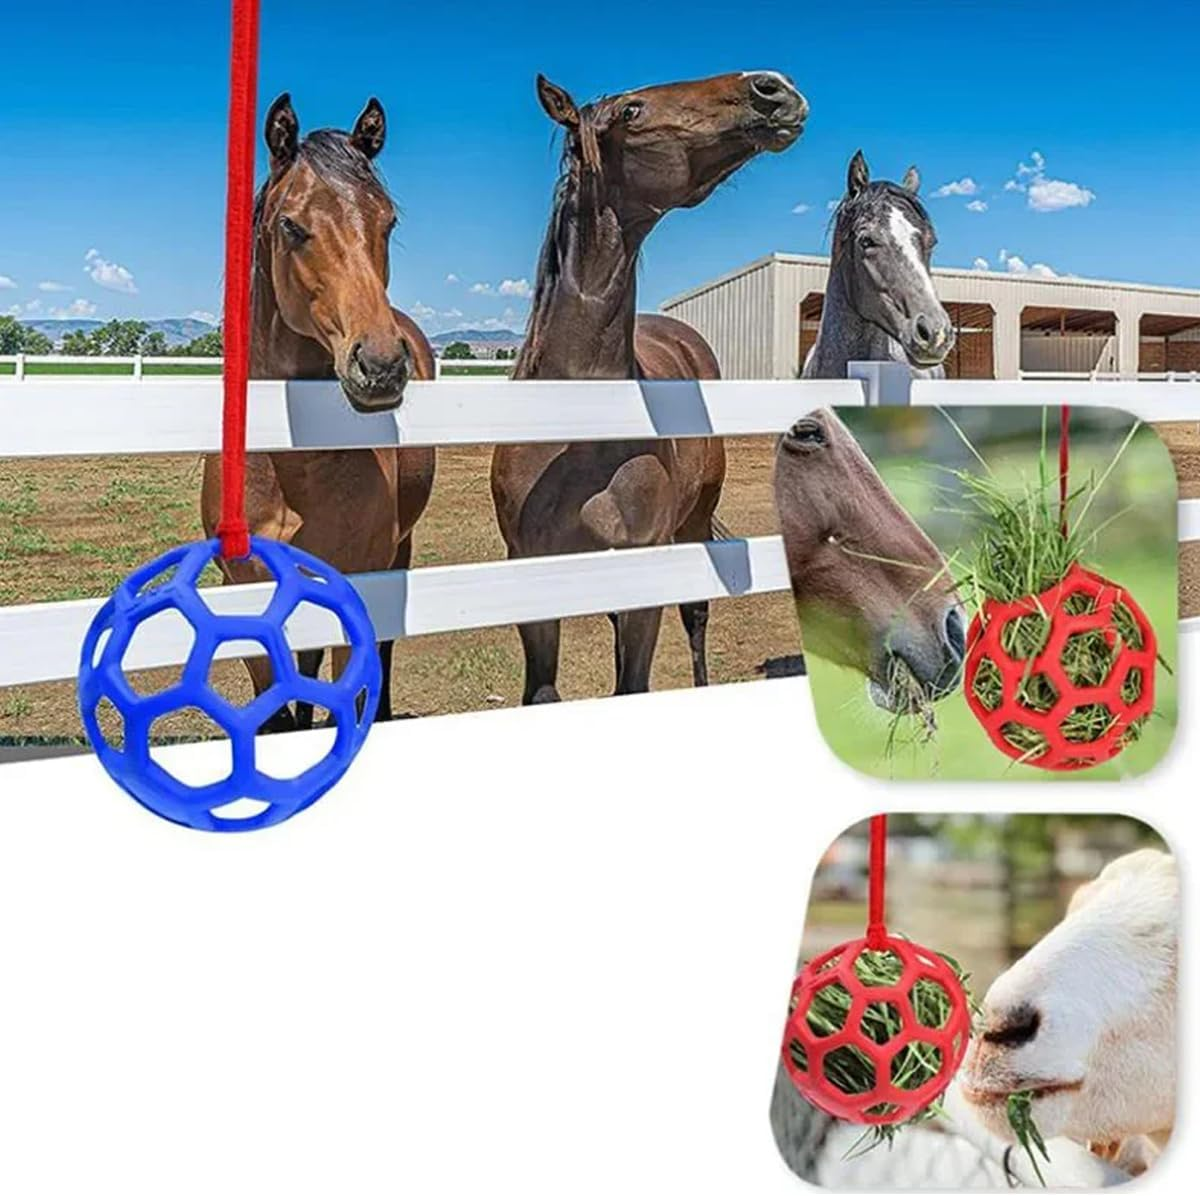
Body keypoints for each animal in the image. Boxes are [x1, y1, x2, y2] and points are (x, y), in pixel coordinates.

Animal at [200, 94, 436, 730]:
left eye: (388, 222)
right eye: (292, 225)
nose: (381, 364)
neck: (290, 463)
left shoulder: (360, 580)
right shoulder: (247, 587)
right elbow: (278, 710)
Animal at [491, 71, 808, 705]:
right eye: (631, 111)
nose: (773, 87)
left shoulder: (648, 578)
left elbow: (633, 683)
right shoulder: (533, 585)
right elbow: (543, 692)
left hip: (691, 528)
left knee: (696, 617)